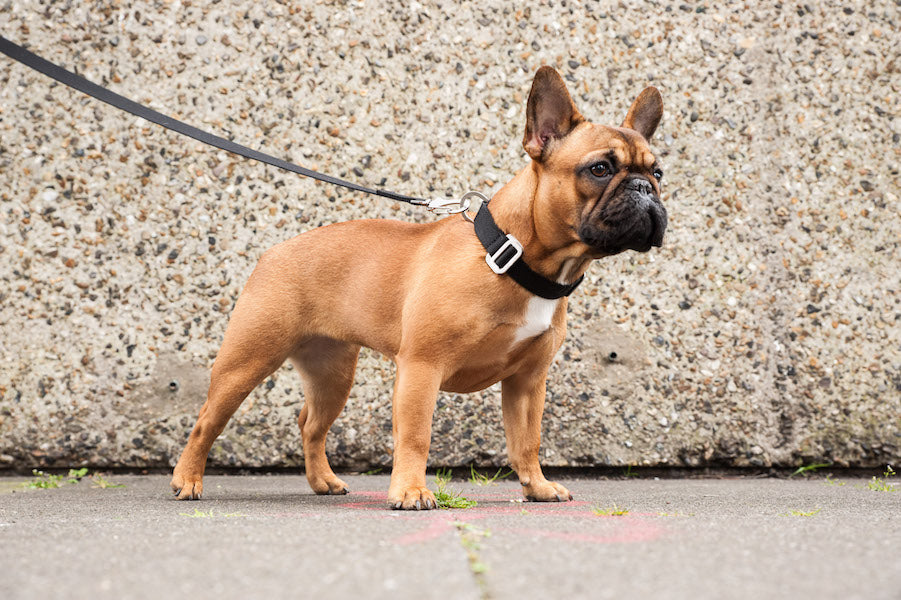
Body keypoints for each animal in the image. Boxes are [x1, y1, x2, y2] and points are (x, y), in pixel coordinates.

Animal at [169, 65, 664, 508]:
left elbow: (527, 439)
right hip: (248, 359)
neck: (514, 257)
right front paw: (409, 492)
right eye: (599, 169)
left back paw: (323, 482)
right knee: (207, 421)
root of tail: (274, 251)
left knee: (311, 423)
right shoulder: (422, 367)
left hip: (333, 372)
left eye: (658, 173)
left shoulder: (528, 381)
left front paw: (537, 487)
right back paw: (187, 480)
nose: (645, 190)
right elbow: (415, 435)